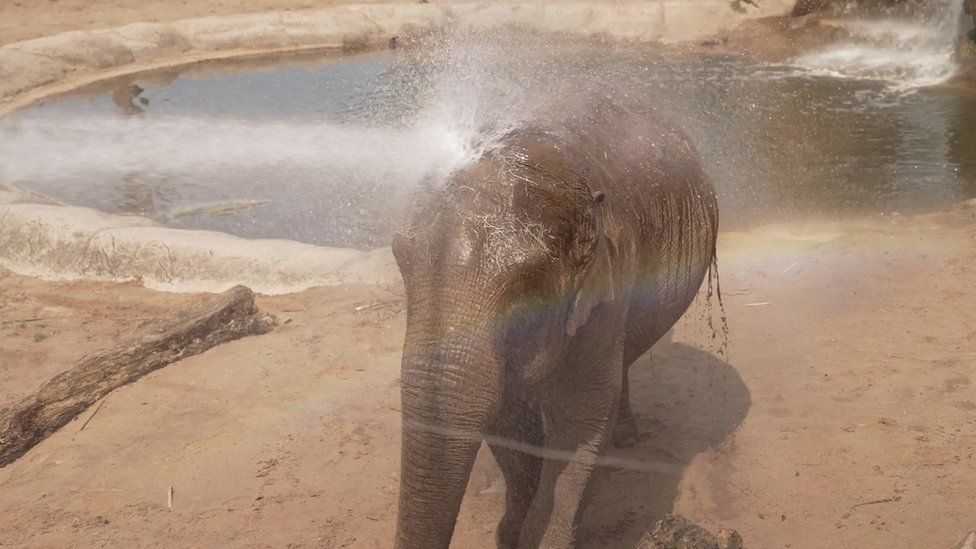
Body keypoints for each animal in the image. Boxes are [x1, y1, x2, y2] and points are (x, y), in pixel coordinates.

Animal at [392, 94, 720, 548]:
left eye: (524, 284)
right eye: (399, 258)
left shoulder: (609, 283)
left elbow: (580, 416)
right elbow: (507, 410)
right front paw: (511, 533)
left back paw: (626, 438)